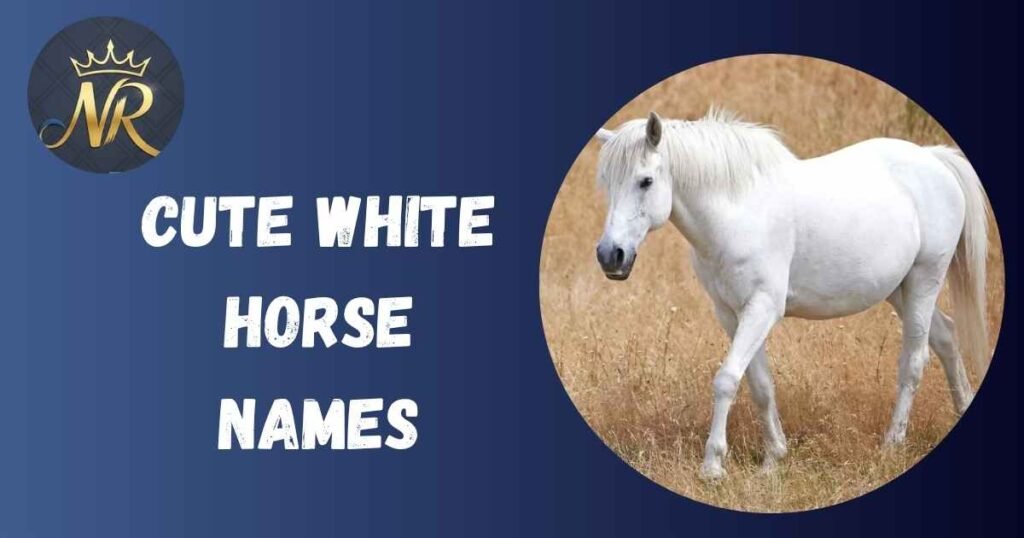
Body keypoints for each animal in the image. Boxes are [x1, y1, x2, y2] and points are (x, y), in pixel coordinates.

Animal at [591, 109, 990, 479]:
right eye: (607, 183)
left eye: (645, 181)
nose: (611, 255)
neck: (738, 213)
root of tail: (934, 159)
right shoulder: (731, 313)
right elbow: (760, 384)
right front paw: (773, 459)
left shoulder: (763, 308)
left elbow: (727, 379)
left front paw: (713, 466)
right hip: (900, 289)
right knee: (946, 336)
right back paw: (961, 408)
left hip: (925, 279)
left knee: (914, 361)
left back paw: (892, 443)